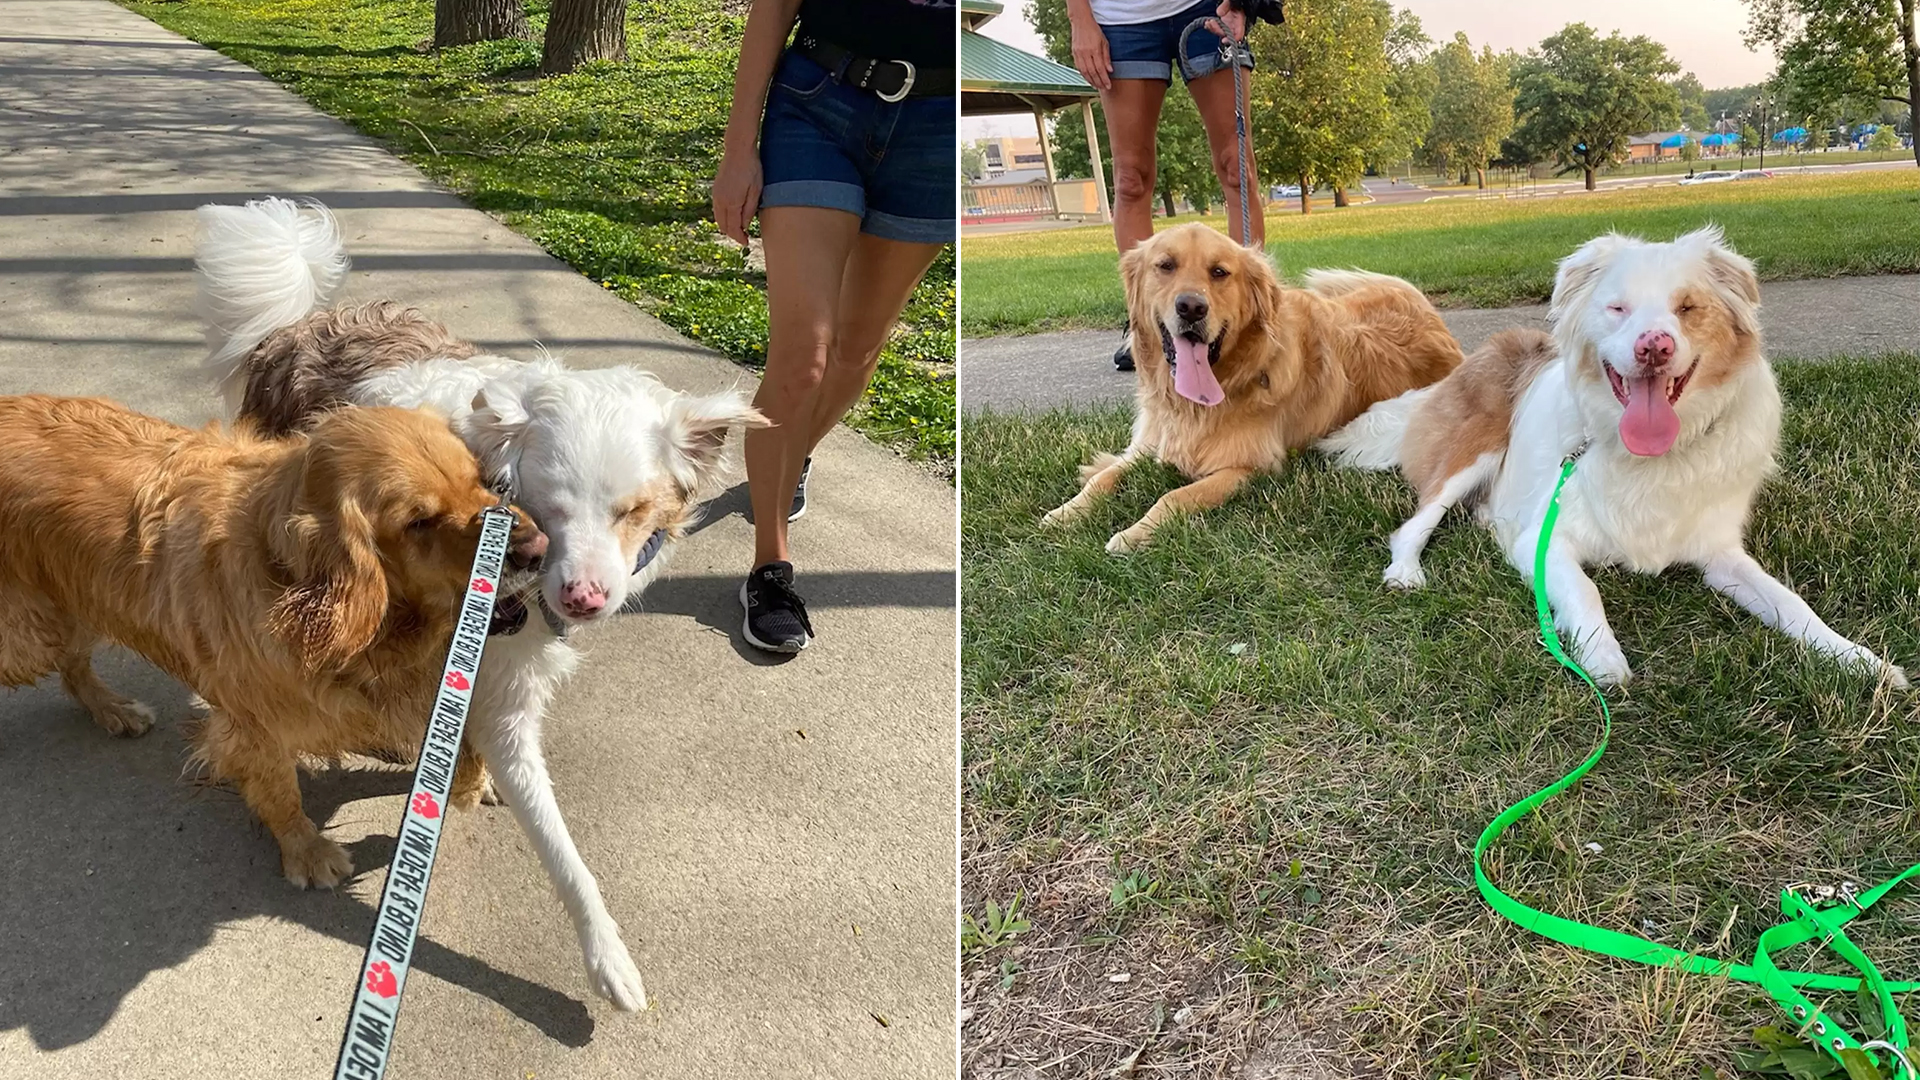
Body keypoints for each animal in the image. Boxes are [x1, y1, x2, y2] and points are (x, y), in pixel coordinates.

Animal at [1320, 226, 1904, 684]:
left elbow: (1791, 604)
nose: (1654, 347)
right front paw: (1602, 658)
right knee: (1415, 523)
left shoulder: (1721, 554)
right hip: (1473, 452)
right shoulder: (1545, 540)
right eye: (1617, 308)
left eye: (1688, 308)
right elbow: (1586, 591)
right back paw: (1405, 571)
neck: (1653, 456)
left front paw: (1860, 661)